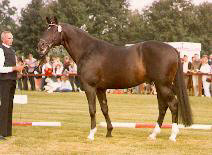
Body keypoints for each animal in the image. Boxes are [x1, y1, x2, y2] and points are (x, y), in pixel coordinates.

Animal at [37, 17, 192, 142]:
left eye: (53, 30)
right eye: (45, 29)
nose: (40, 46)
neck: (88, 51)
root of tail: (173, 50)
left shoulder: (89, 87)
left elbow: (92, 109)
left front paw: (91, 134)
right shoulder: (100, 89)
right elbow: (104, 109)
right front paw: (109, 132)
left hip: (163, 85)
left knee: (173, 105)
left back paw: (172, 135)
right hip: (160, 86)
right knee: (163, 107)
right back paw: (153, 134)